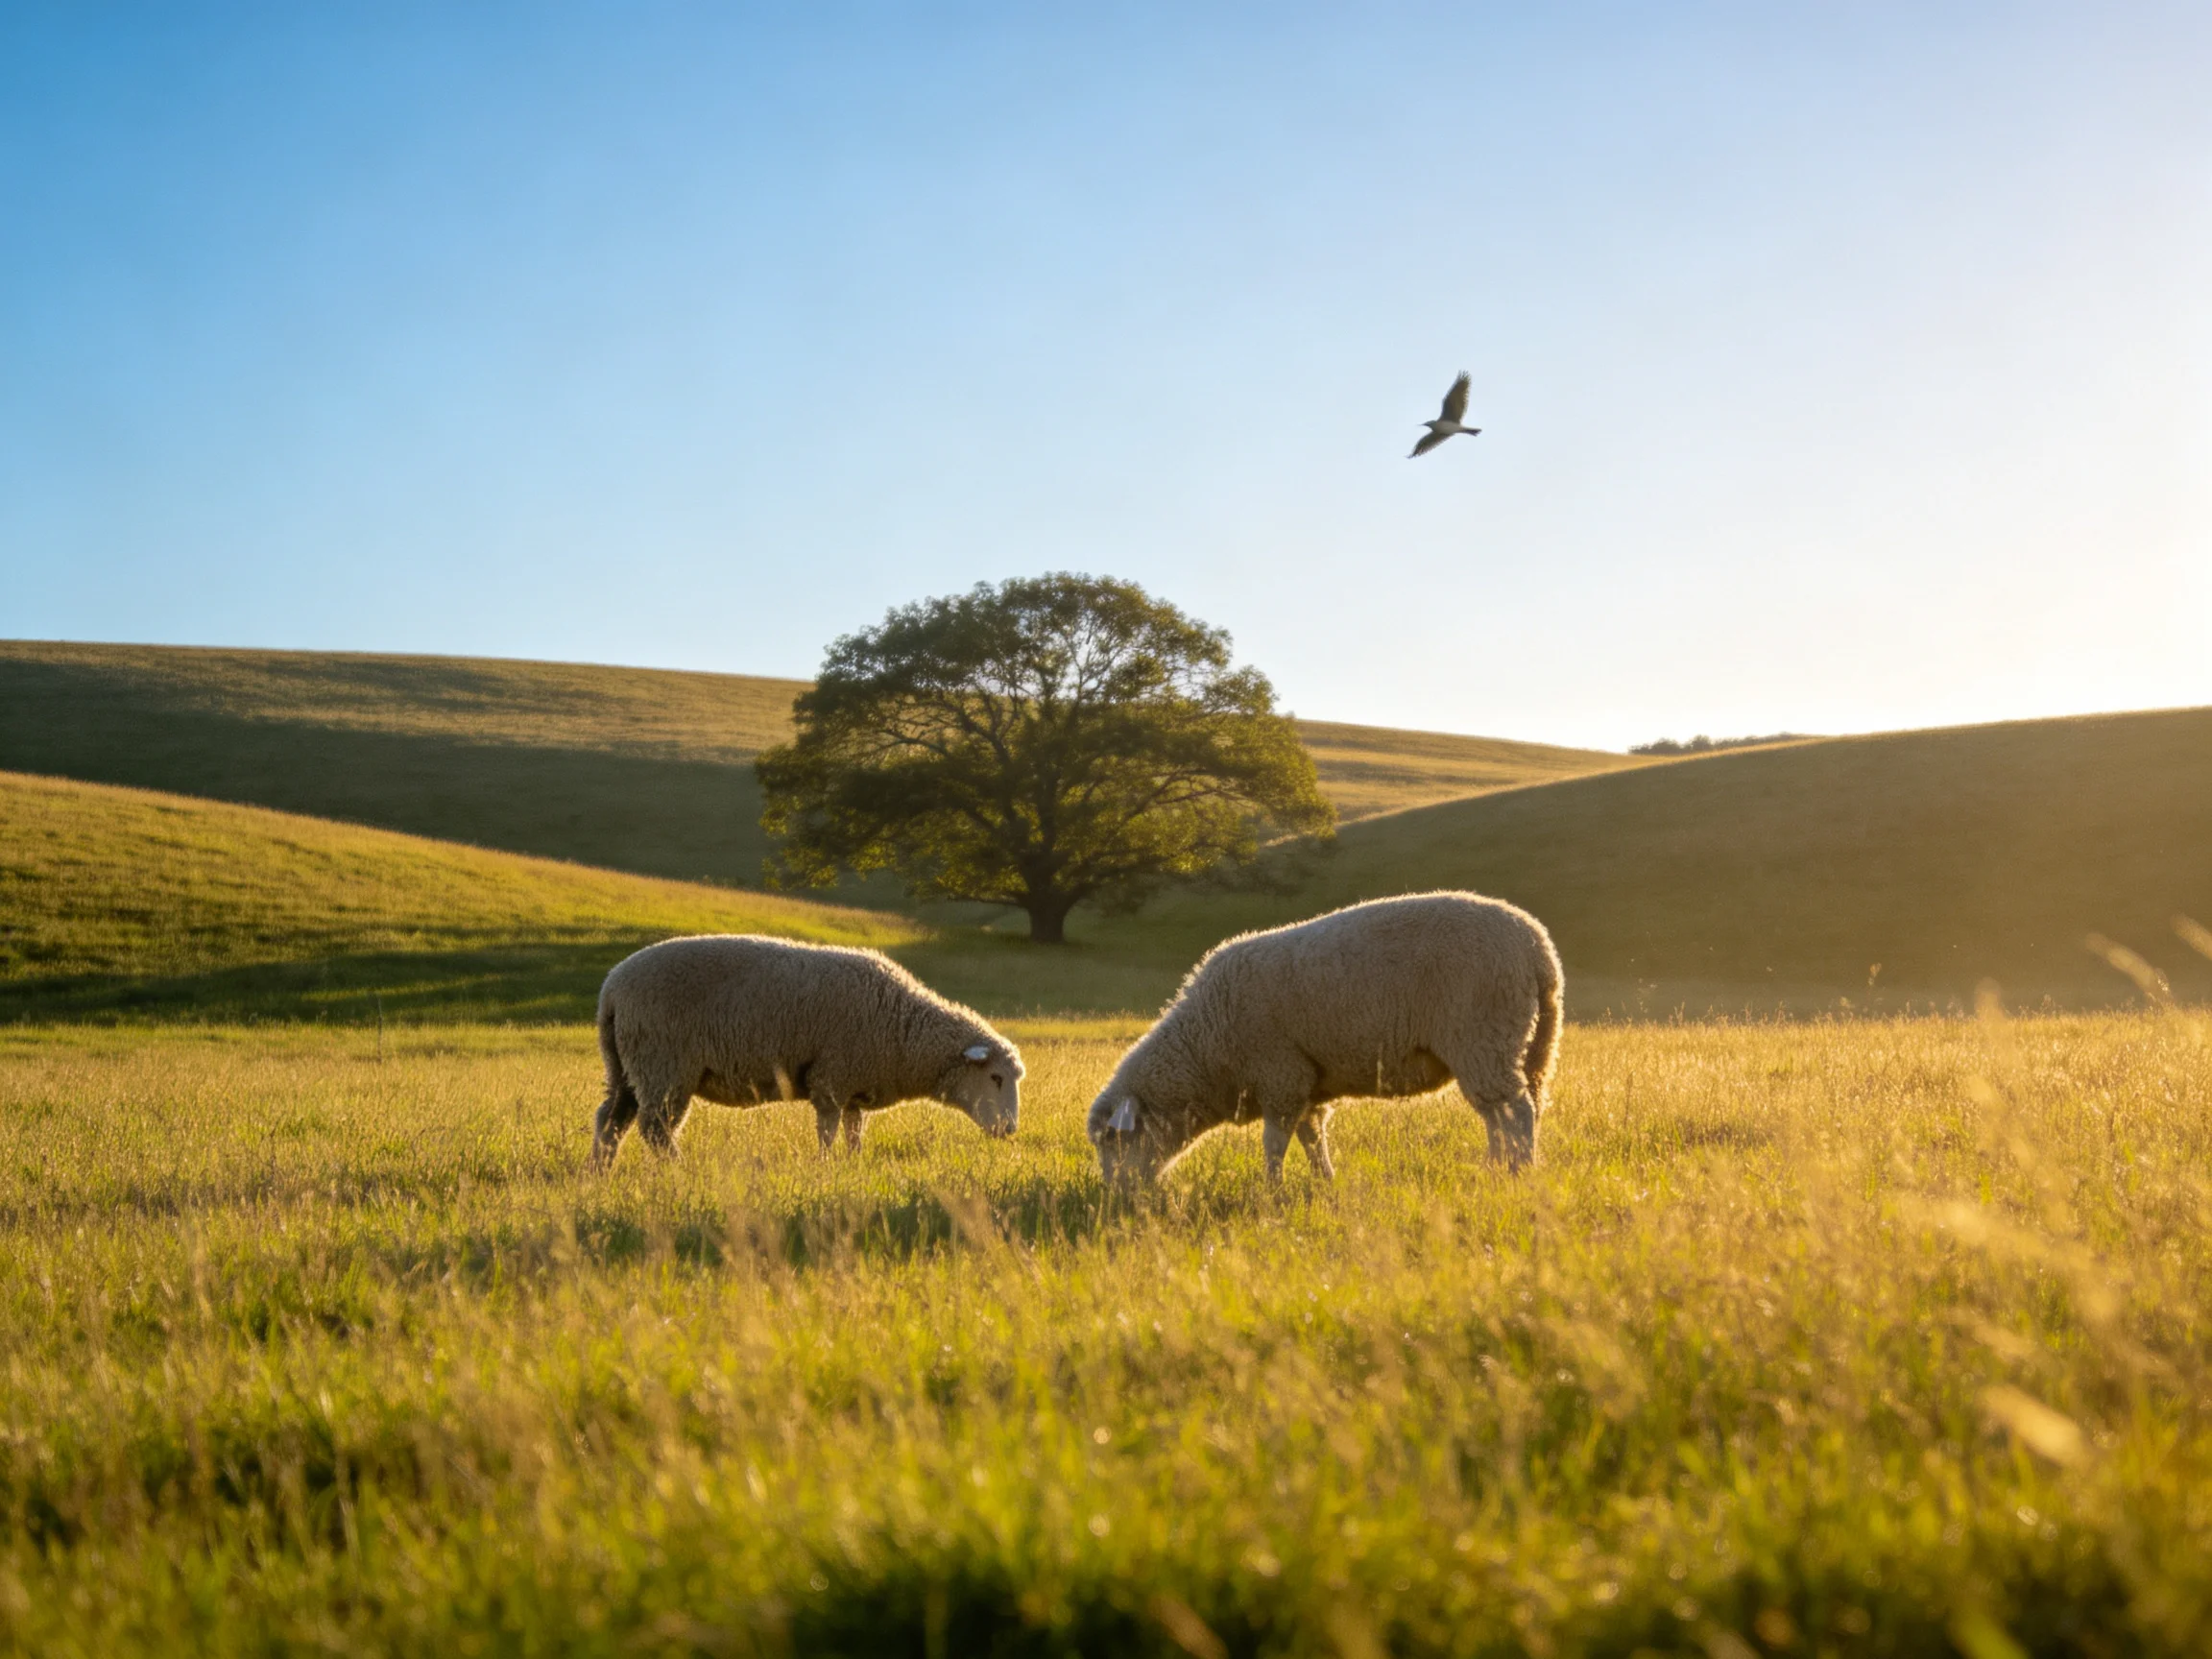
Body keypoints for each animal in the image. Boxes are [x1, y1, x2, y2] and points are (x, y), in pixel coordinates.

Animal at [591, 935, 1023, 1169]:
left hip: (626, 1066)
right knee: (656, 1129)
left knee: (611, 1120)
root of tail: (612, 988)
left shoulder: (854, 1085)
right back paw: (679, 1170)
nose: (1010, 1130)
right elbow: (828, 1131)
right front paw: (825, 1165)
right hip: (663, 1065)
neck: (902, 1028)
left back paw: (599, 1172)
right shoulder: (831, 1078)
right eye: (995, 1077)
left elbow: (853, 1130)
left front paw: (854, 1163)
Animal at [1087, 891, 1562, 1187]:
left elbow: (1274, 1143)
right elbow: (1312, 1137)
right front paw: (1324, 1181)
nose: (1118, 1197)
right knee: (1511, 1113)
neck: (1207, 1048)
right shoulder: (1308, 1083)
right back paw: (1501, 1168)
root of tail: (1537, 948)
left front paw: (1272, 1190)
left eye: (1115, 1141)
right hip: (1532, 1044)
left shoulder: (1281, 1075)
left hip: (1484, 1037)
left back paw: (1515, 1174)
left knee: (1512, 1112)